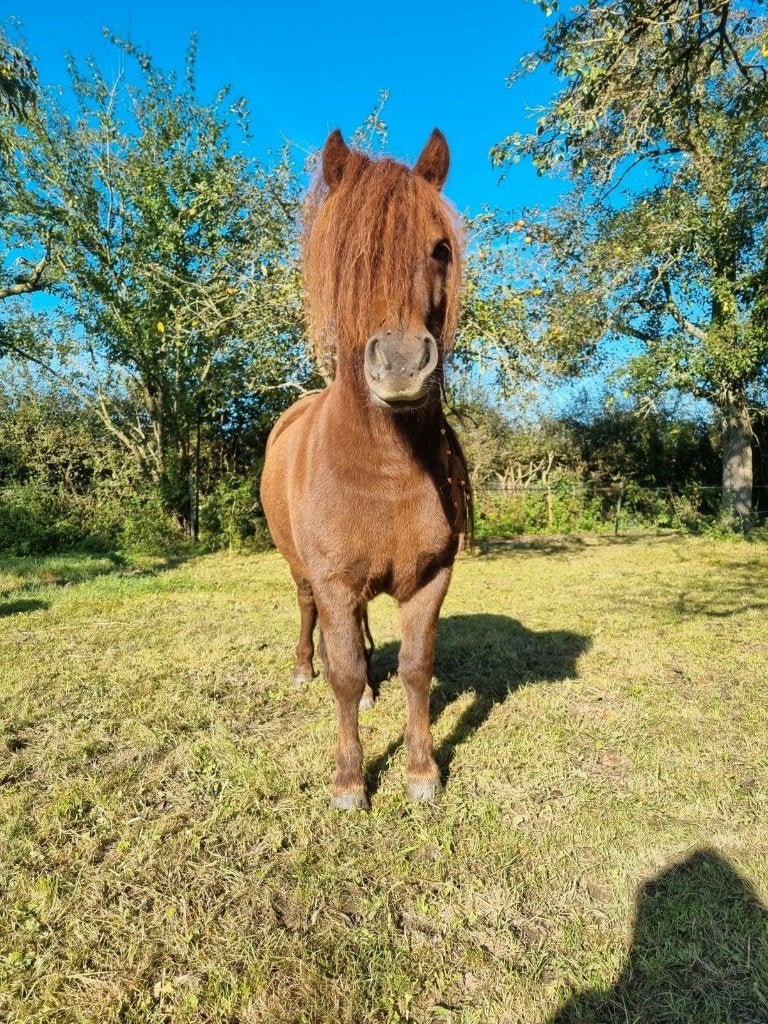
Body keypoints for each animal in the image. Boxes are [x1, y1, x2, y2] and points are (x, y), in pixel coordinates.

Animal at [260, 128, 471, 810]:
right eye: (348, 253)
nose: (401, 365)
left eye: (439, 249)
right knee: (311, 617)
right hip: (303, 572)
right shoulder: (330, 579)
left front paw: (422, 771)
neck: (382, 472)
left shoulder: (430, 579)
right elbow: (345, 673)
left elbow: (417, 669)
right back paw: (305, 668)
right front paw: (350, 780)